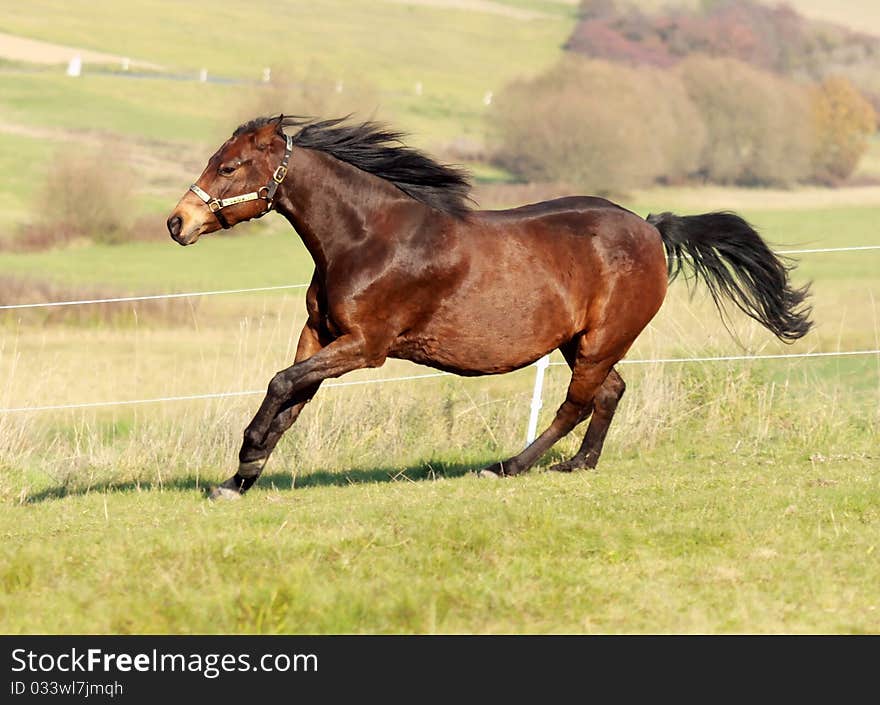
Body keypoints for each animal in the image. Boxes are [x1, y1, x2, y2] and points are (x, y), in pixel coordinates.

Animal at [165, 115, 812, 498]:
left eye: (228, 166)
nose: (177, 223)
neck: (367, 238)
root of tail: (652, 228)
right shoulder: (319, 335)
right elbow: (292, 397)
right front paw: (239, 480)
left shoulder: (366, 347)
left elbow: (281, 384)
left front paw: (245, 459)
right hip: (582, 342)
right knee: (609, 392)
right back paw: (578, 465)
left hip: (601, 339)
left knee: (578, 402)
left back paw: (508, 466)